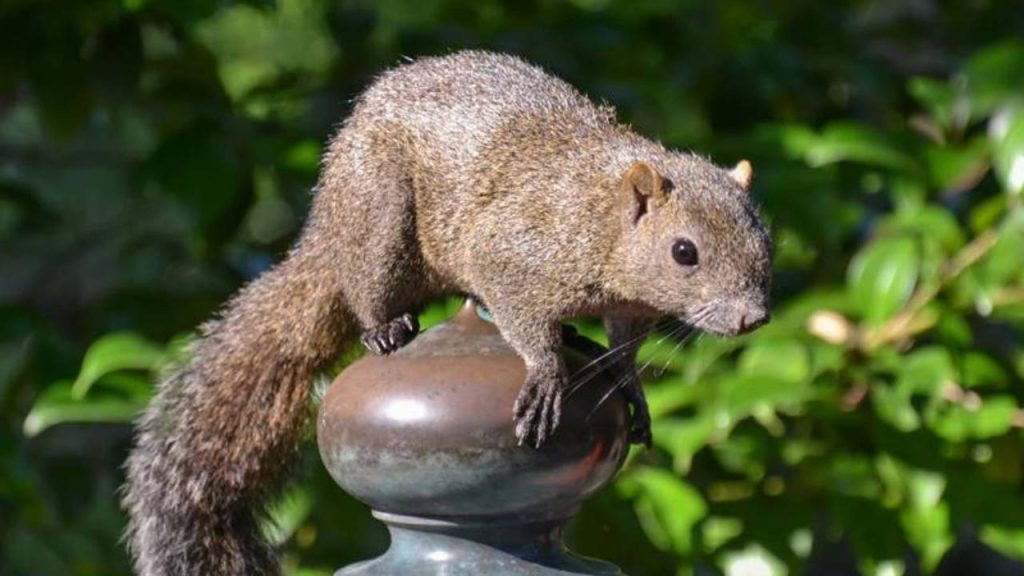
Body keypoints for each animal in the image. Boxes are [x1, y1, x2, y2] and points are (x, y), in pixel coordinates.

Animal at [123, 50, 770, 573]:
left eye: (766, 239)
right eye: (684, 252)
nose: (753, 319)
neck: (601, 218)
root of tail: (329, 230)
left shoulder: (630, 307)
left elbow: (624, 349)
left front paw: (629, 386)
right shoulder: (512, 249)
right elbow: (521, 315)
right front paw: (546, 375)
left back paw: (576, 340)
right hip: (380, 216)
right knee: (369, 286)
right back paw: (386, 328)